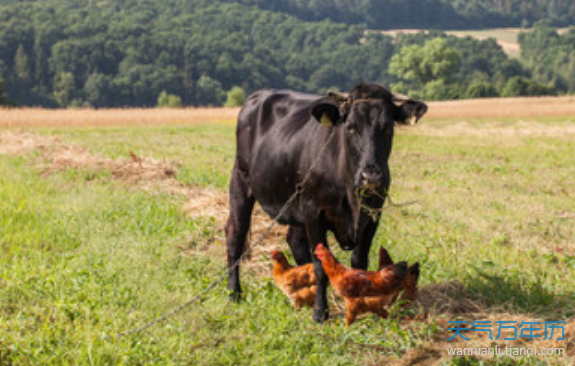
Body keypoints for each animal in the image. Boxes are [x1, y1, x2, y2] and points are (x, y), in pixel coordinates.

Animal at [226, 84, 428, 322]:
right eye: (350, 127)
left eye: (387, 127)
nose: (371, 176)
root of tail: (259, 95)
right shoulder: (313, 213)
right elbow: (320, 267)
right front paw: (320, 312)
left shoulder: (373, 214)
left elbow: (359, 261)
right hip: (241, 180)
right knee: (235, 234)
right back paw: (234, 294)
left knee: (294, 241)